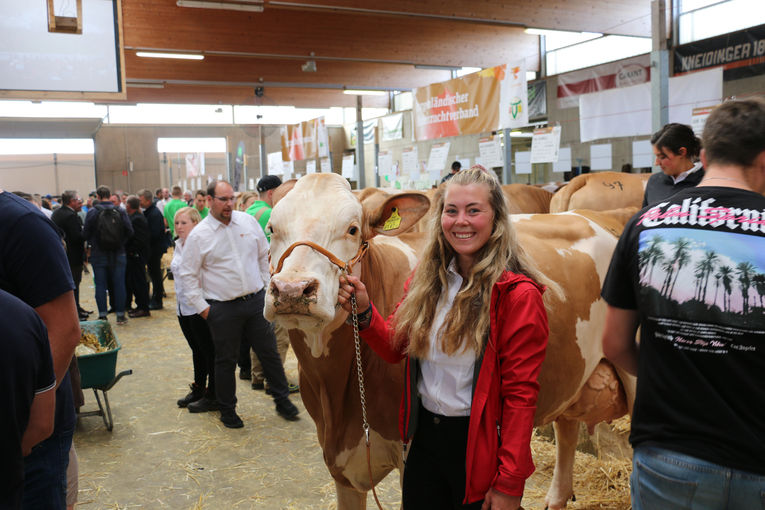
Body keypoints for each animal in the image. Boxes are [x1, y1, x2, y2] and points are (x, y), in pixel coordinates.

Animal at [266, 173, 636, 508]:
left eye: (353, 229)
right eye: (271, 229)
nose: (292, 289)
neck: (337, 394)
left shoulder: (409, 455)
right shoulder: (342, 464)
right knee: (567, 429)